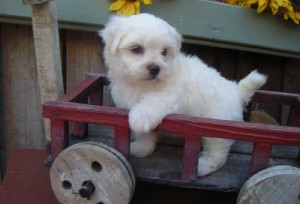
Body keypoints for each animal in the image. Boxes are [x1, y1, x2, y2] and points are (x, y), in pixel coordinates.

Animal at [99, 13, 266, 176]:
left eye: (164, 52)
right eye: (136, 49)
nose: (155, 68)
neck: (141, 85)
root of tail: (236, 90)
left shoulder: (171, 93)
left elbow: (153, 102)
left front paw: (141, 116)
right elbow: (144, 135)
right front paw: (141, 148)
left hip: (218, 123)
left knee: (217, 152)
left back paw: (203, 167)